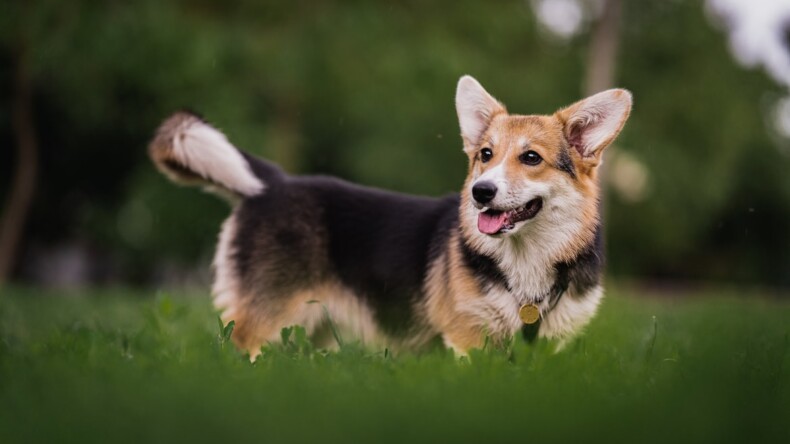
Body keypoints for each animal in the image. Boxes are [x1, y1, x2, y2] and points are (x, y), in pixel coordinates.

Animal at [148, 73, 636, 358]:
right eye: (485, 155)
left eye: (531, 158)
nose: (480, 193)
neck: (524, 263)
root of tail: (273, 181)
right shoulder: (468, 341)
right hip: (266, 321)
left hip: (310, 329)